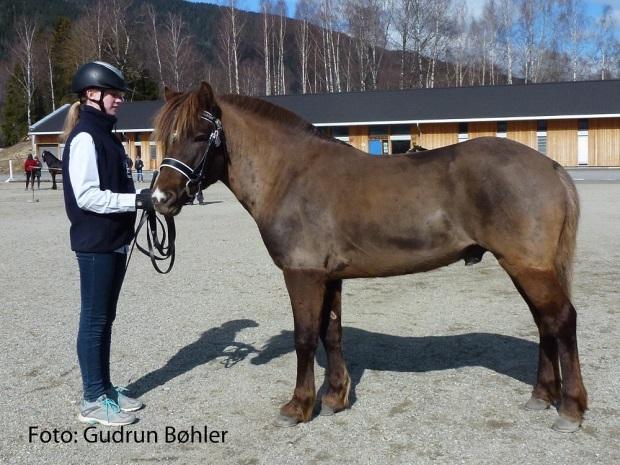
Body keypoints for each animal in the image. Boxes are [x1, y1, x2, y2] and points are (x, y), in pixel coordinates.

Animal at [150, 80, 588, 432]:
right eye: (164, 138)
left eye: (200, 134)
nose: (159, 198)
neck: (290, 175)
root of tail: (550, 165)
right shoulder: (329, 276)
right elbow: (331, 333)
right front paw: (334, 398)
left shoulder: (302, 274)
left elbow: (305, 338)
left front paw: (298, 406)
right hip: (525, 267)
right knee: (545, 323)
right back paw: (542, 396)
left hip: (528, 266)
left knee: (561, 321)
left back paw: (570, 409)